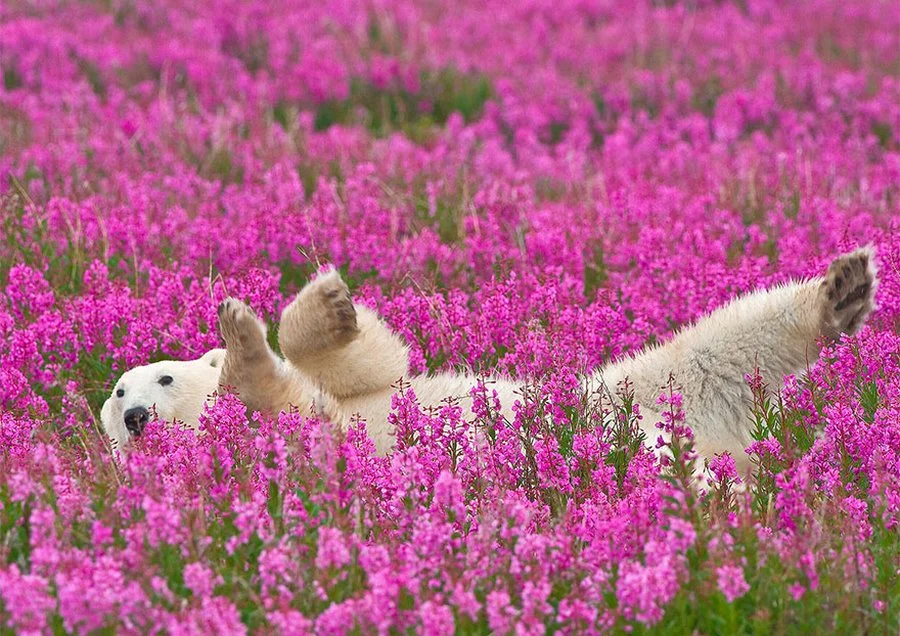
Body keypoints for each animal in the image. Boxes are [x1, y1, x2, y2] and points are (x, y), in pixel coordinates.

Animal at [100, 248, 877, 476]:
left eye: (158, 376)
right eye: (116, 395)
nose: (135, 416)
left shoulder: (352, 395)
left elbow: (375, 365)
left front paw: (312, 306)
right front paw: (243, 343)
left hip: (631, 389)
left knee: (720, 343)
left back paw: (843, 288)